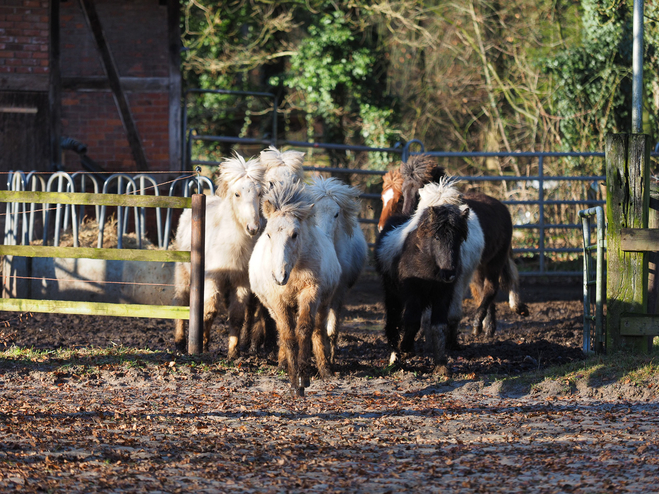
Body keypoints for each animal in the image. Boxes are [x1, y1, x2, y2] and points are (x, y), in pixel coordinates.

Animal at [248, 179, 340, 396]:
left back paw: (325, 370)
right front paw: (293, 381)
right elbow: (288, 335)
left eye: (295, 234)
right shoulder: (277, 302)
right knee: (282, 331)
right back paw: (282, 363)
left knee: (318, 331)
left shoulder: (310, 293)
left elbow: (304, 330)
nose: (279, 276)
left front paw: (303, 379)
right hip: (274, 308)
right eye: (269, 234)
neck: (295, 268)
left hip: (323, 304)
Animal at [398, 153, 532, 344]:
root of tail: (501, 207)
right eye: (403, 191)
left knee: (491, 289)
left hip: (495, 260)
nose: (406, 216)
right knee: (482, 292)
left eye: (419, 190)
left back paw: (478, 323)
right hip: (479, 267)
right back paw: (488, 327)